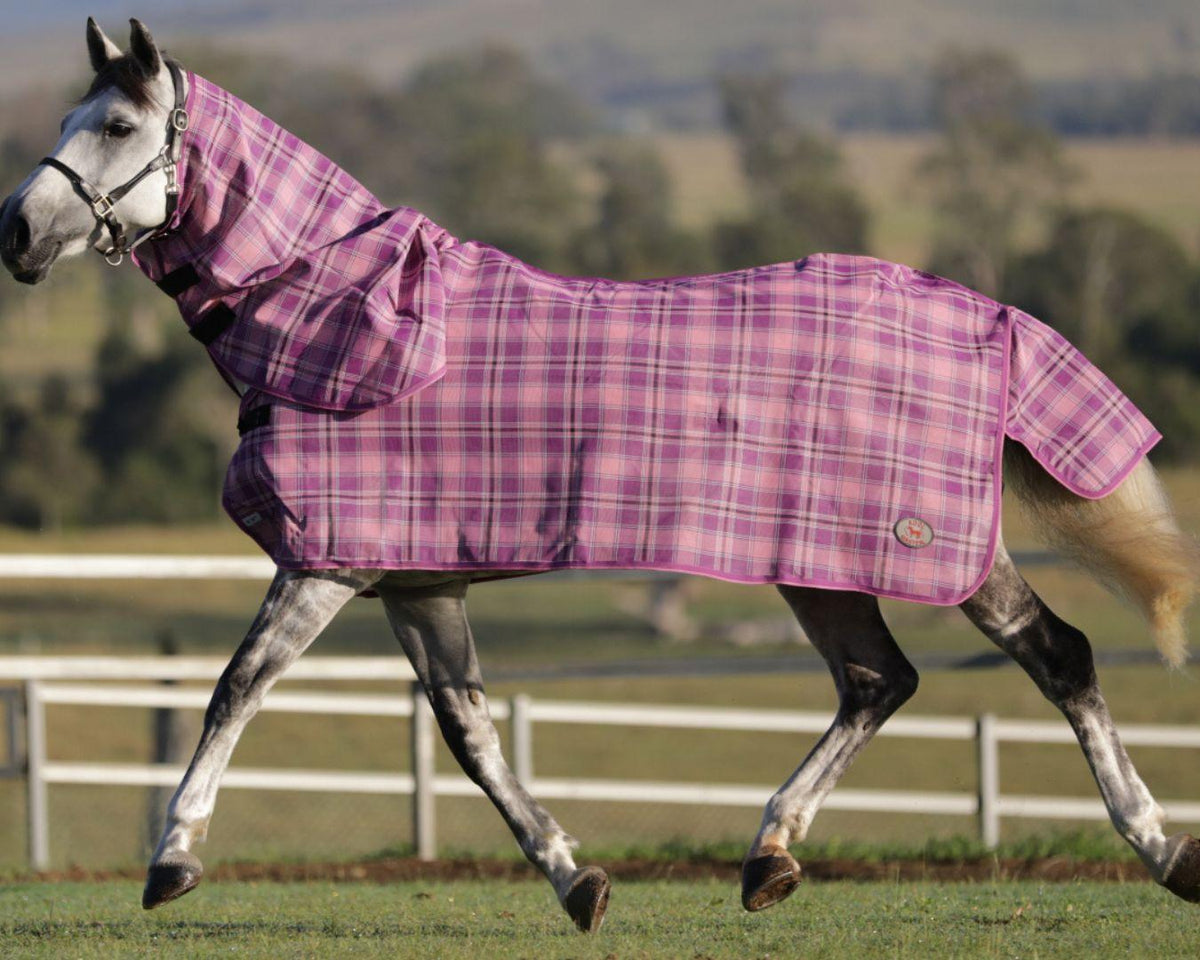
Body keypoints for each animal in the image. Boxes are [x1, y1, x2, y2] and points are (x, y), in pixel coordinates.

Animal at [2, 19, 1199, 933]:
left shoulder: (324, 565)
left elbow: (235, 687)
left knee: (1056, 656)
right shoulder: (417, 584)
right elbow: (470, 735)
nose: (16, 231)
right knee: (878, 682)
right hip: (812, 561)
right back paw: (770, 857)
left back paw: (1162, 850)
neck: (339, 315)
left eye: (116, 127)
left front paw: (173, 859)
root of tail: (979, 312)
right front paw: (577, 881)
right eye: (66, 122)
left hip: (937, 549)